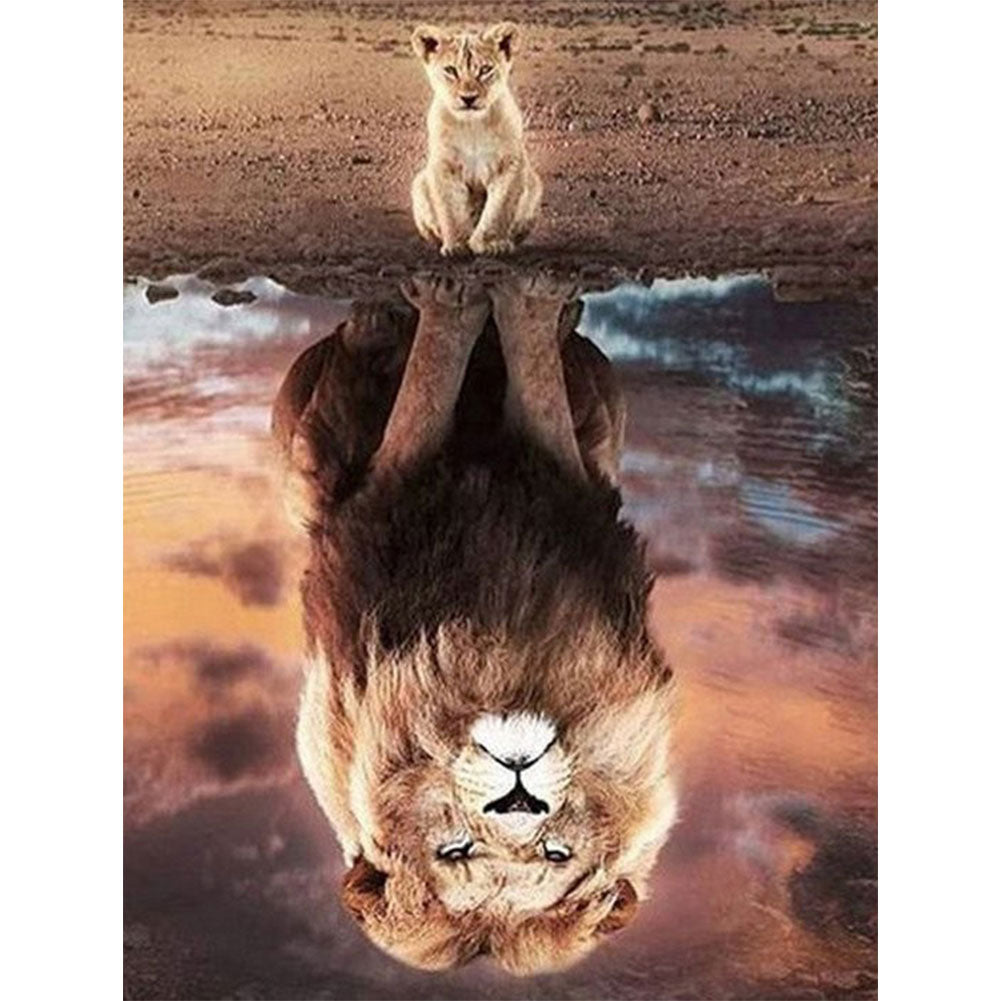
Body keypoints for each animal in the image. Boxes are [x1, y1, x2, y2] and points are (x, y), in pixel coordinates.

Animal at [272, 274, 678, 974]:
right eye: (455, 850)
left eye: (555, 853)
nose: (518, 792)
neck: (497, 661)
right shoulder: (386, 485)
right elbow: (432, 381)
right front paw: (457, 296)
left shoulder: (571, 477)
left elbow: (531, 385)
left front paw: (522, 301)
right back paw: (380, 321)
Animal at [410, 22, 542, 256]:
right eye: (451, 70)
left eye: (485, 70)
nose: (468, 98)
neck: (472, 126)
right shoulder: (444, 165)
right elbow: (451, 210)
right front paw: (458, 246)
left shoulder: (510, 164)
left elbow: (499, 208)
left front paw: (491, 244)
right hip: (419, 183)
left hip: (534, 183)